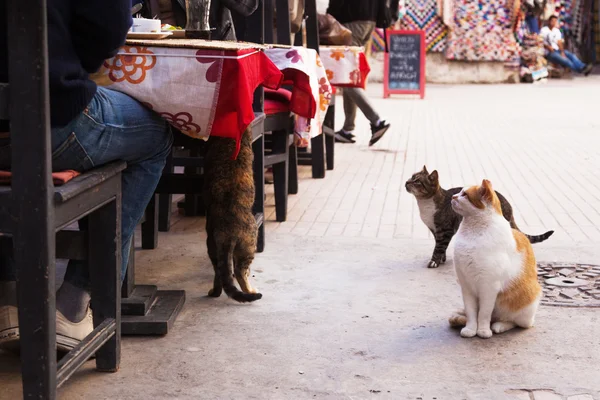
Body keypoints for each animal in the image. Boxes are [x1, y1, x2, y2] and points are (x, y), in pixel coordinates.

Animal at [204, 128, 262, 304]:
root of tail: (227, 231)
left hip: (213, 247)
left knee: (219, 273)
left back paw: (214, 292)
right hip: (249, 245)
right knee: (239, 271)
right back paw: (250, 290)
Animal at [406, 166, 556, 268]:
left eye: (417, 181)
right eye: (411, 177)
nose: (406, 182)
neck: (426, 204)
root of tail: (507, 203)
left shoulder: (445, 229)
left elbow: (439, 247)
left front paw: (434, 261)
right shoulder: (434, 230)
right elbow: (439, 246)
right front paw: (442, 259)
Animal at [448, 180, 540, 340]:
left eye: (464, 195)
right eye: (459, 192)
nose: (453, 196)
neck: (472, 232)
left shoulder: (488, 287)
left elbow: (484, 314)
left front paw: (483, 330)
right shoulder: (466, 286)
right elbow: (472, 313)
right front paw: (470, 329)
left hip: (526, 304)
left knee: (514, 322)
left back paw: (499, 326)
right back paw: (458, 317)